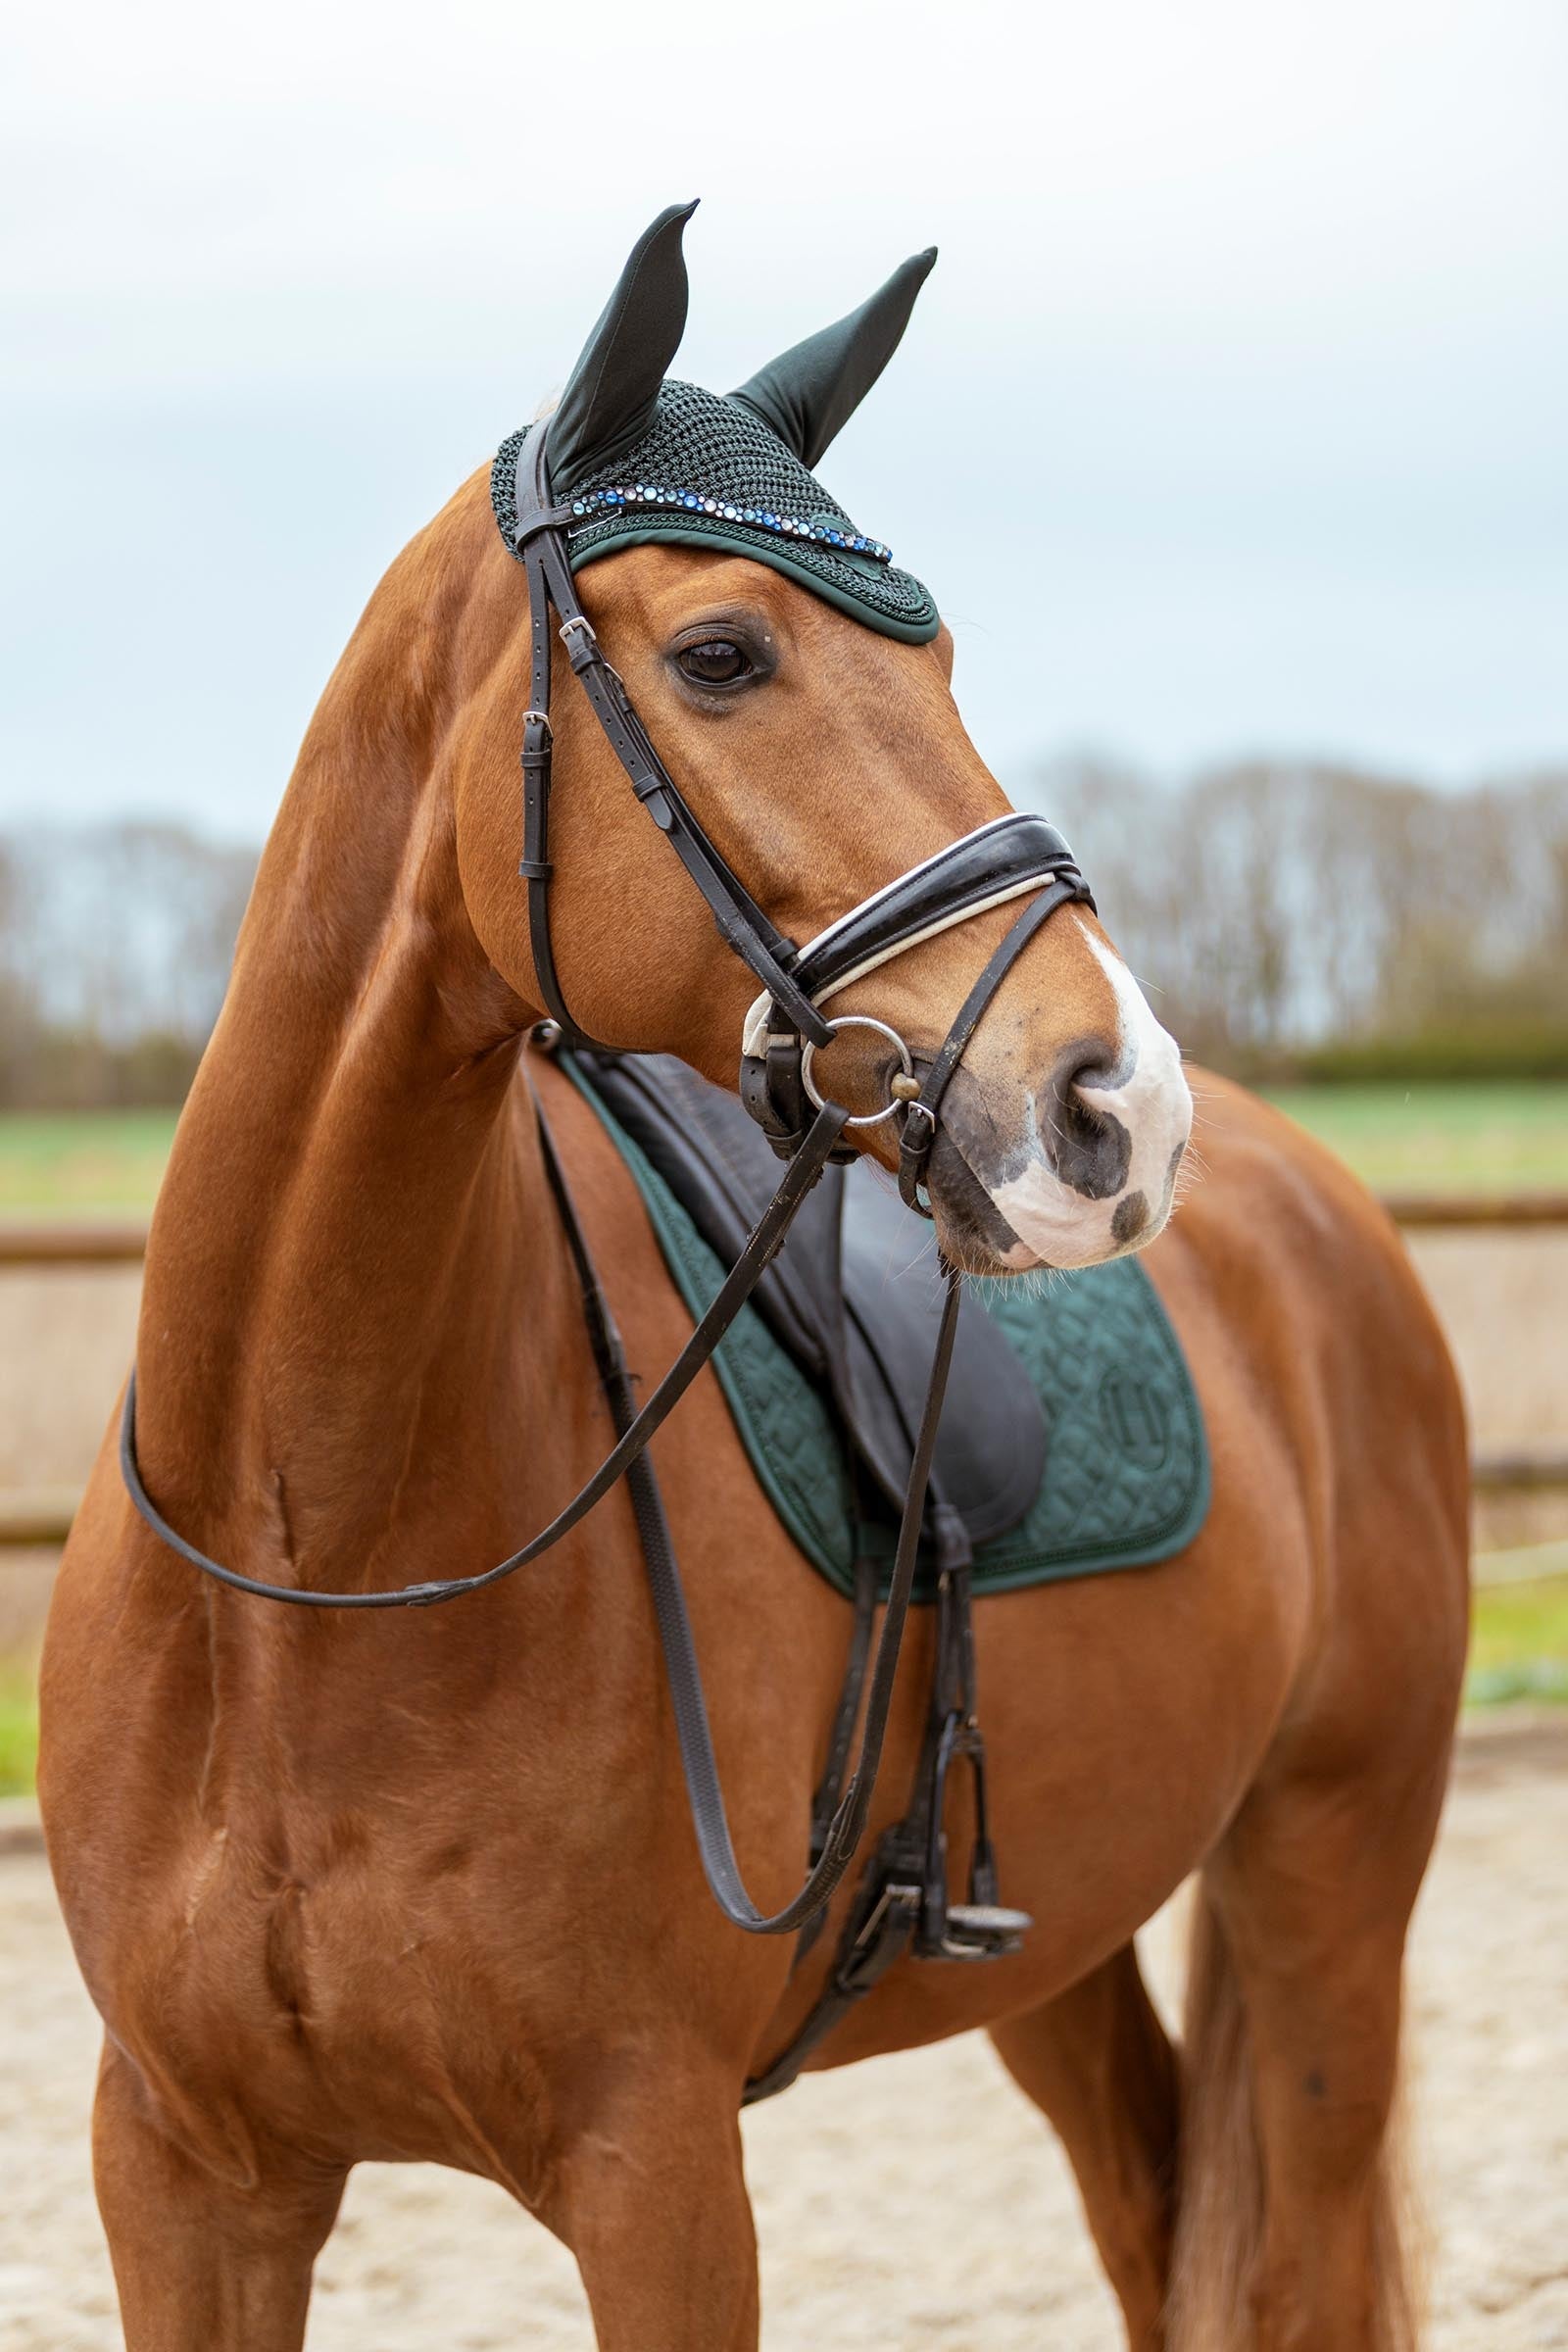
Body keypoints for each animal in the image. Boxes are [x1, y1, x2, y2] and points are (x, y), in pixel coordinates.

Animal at [38, 209, 1469, 2350]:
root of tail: (1312, 1214)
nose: (1113, 1106)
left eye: (938, 653)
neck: (310, 1553)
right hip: (1053, 1941)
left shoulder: (656, 2172)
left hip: (1329, 1886)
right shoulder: (190, 2178)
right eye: (722, 654)